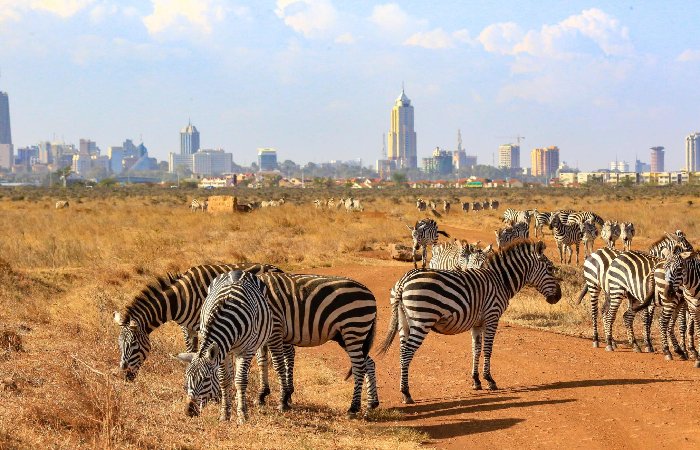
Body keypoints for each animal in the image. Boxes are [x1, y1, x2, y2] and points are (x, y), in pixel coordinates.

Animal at [112, 262, 282, 382]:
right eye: (120, 345)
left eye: (133, 344)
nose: (125, 376)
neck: (179, 299)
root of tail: (277, 269)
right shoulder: (187, 328)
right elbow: (191, 351)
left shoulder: (202, 326)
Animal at [176, 270, 272, 422]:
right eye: (187, 378)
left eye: (206, 379)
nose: (189, 411)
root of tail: (238, 271)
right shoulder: (221, 352)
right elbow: (224, 380)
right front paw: (224, 413)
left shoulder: (246, 350)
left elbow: (241, 380)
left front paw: (242, 415)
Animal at [256, 270, 378, 414]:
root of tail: (370, 293)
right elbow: (262, 362)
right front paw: (262, 395)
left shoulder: (275, 329)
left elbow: (277, 364)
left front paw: (282, 400)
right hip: (348, 335)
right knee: (368, 362)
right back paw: (372, 403)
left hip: (353, 327)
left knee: (359, 366)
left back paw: (353, 408)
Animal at [378, 241, 564, 402]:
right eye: (550, 268)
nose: (558, 297)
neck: (500, 281)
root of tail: (404, 281)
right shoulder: (492, 317)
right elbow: (488, 350)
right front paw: (490, 380)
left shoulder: (477, 323)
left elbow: (476, 350)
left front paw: (476, 381)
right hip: (422, 321)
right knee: (407, 353)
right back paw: (406, 393)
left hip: (404, 322)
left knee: (402, 352)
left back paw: (404, 390)